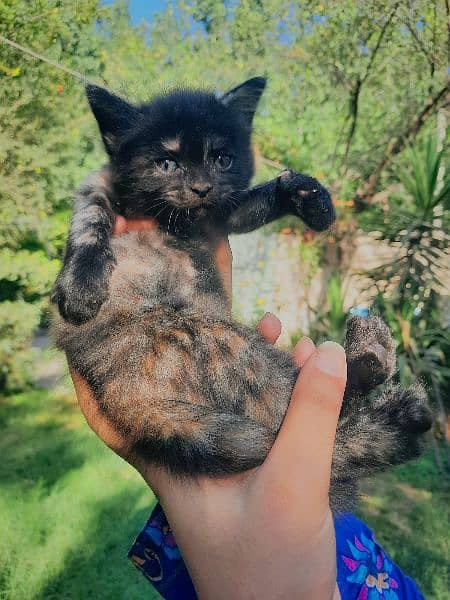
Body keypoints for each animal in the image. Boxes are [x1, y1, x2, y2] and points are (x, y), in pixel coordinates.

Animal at [51, 78, 430, 510]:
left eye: (223, 160)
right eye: (167, 164)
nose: (201, 188)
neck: (180, 222)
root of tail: (126, 397)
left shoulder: (225, 210)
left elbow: (257, 199)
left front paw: (309, 195)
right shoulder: (98, 181)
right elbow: (89, 218)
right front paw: (80, 284)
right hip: (208, 337)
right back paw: (391, 408)